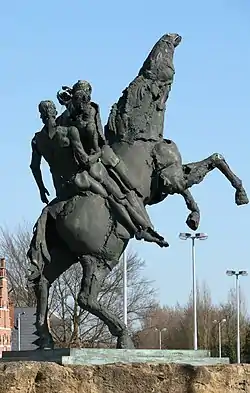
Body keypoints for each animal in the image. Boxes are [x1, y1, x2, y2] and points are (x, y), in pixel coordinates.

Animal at [27, 32, 248, 348]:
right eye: (163, 61)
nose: (173, 36)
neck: (141, 134)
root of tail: (54, 210)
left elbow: (213, 162)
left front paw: (230, 199)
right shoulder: (170, 176)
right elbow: (201, 174)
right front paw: (199, 214)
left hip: (63, 253)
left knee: (43, 281)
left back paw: (46, 338)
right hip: (102, 255)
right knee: (84, 297)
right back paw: (123, 335)